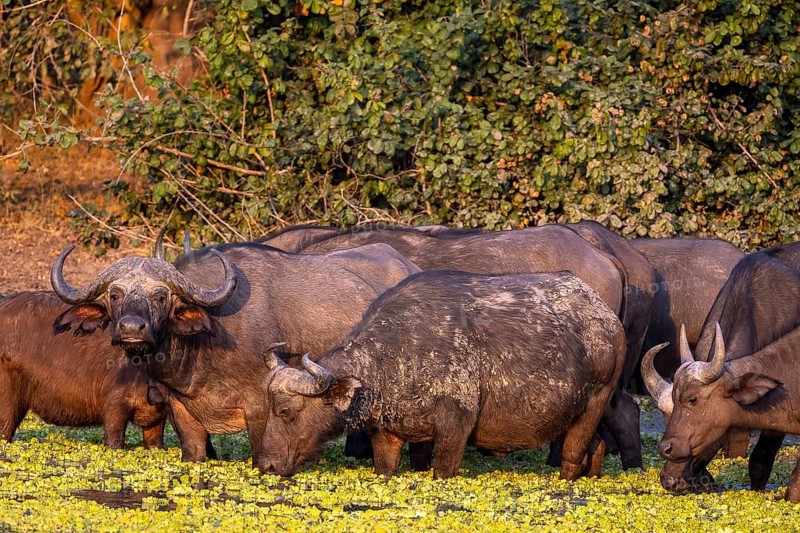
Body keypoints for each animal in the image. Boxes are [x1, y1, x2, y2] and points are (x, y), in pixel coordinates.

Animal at [257, 270, 626, 480]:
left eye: (286, 411)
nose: (266, 466)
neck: (397, 354)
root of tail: (606, 316)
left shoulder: (455, 427)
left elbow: (443, 468)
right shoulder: (387, 435)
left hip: (597, 400)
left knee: (572, 455)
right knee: (597, 445)